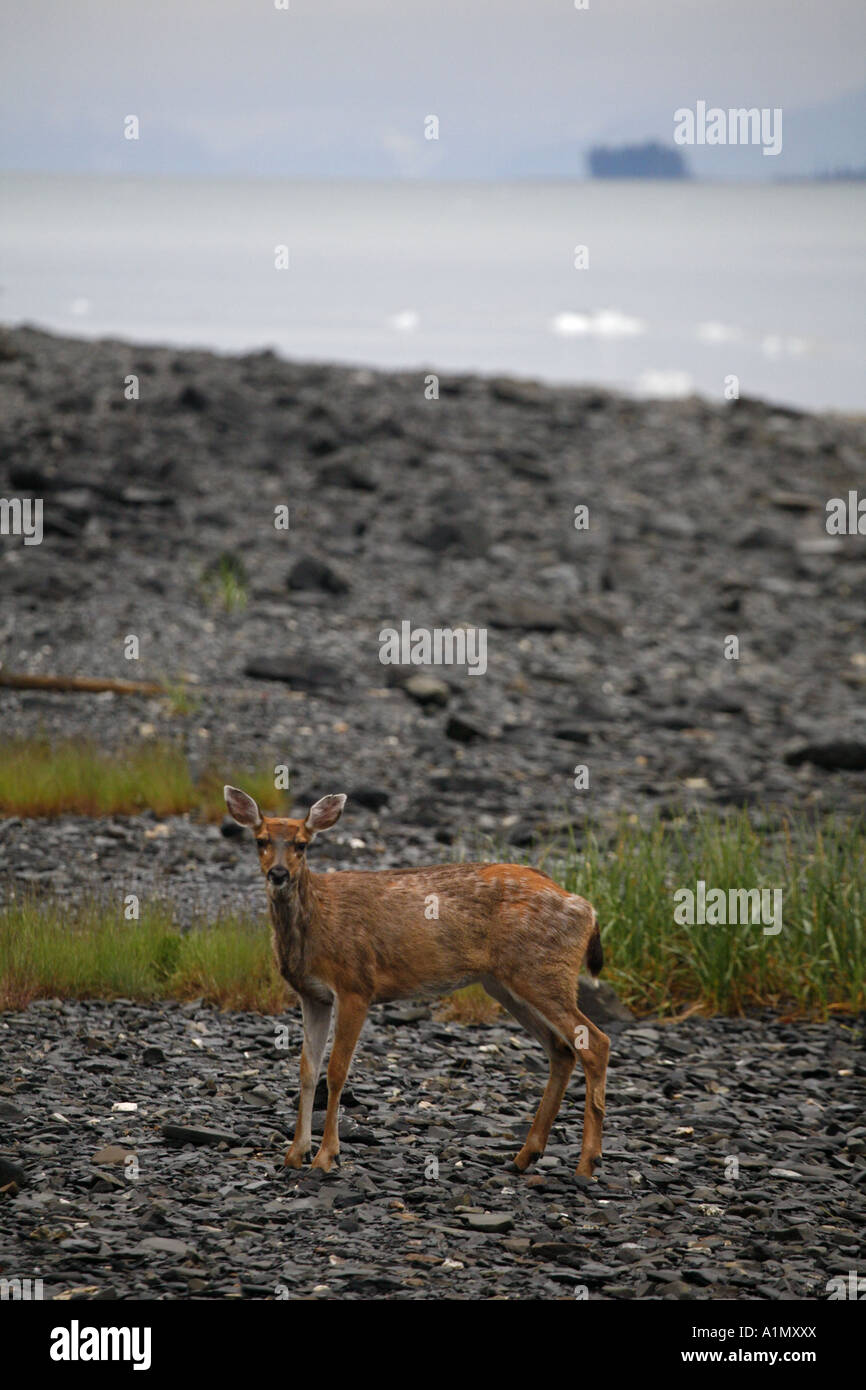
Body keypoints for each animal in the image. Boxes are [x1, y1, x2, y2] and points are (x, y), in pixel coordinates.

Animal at [224, 785, 610, 1179]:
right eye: (260, 840)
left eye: (301, 844)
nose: (278, 873)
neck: (317, 918)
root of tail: (586, 907)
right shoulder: (313, 995)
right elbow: (306, 1070)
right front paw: (294, 1154)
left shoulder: (355, 984)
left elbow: (336, 1071)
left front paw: (326, 1156)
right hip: (506, 983)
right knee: (561, 1049)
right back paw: (525, 1155)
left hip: (542, 970)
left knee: (595, 1042)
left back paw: (587, 1163)